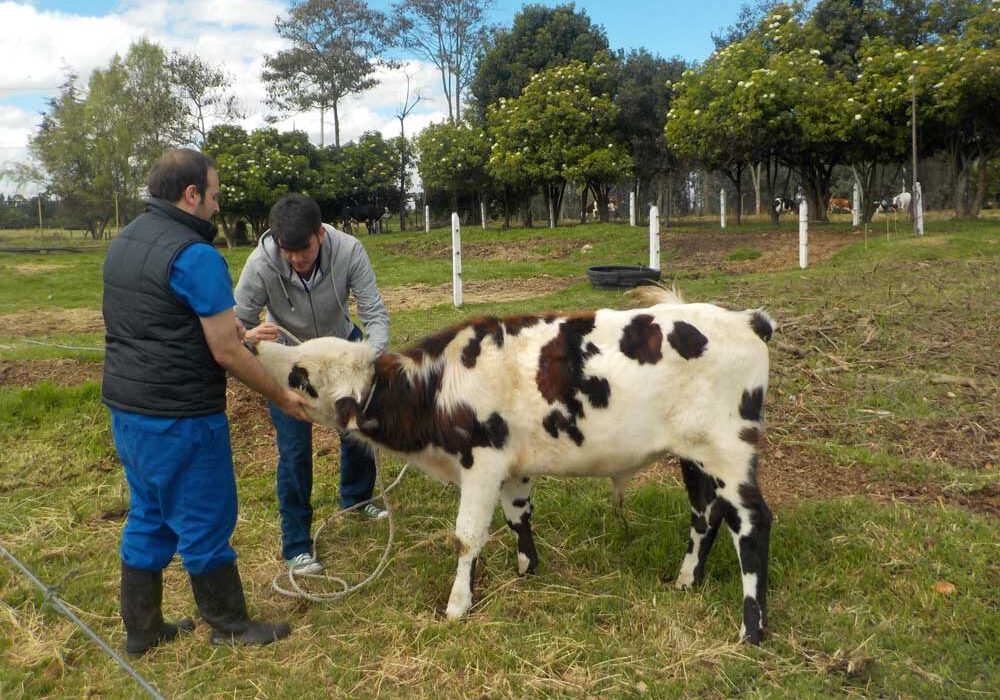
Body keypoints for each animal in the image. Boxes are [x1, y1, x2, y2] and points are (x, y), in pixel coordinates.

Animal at [252, 288, 780, 644]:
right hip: (694, 456)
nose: (257, 345)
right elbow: (516, 517)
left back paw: (752, 627)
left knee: (751, 522)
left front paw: (458, 604)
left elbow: (467, 536)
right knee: (705, 513)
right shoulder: (512, 467)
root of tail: (745, 320)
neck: (438, 386)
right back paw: (687, 580)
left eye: (300, 377)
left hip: (729, 453)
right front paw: (528, 568)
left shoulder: (481, 463)